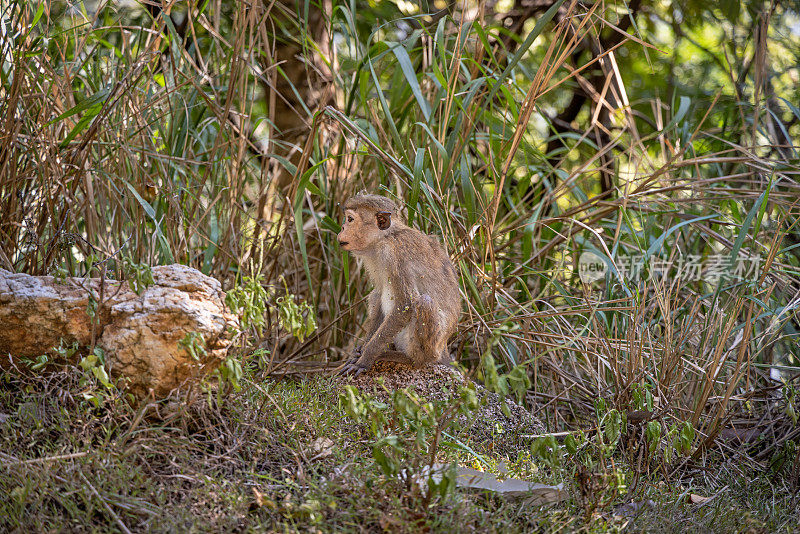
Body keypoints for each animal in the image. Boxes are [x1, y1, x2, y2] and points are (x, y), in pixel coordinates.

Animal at [338, 194, 462, 376]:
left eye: (350, 219)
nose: (341, 228)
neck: (386, 236)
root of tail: (444, 348)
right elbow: (380, 296)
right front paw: (362, 350)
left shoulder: (394, 253)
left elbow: (405, 304)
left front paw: (365, 359)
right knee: (377, 295)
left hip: (433, 347)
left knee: (424, 302)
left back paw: (410, 359)